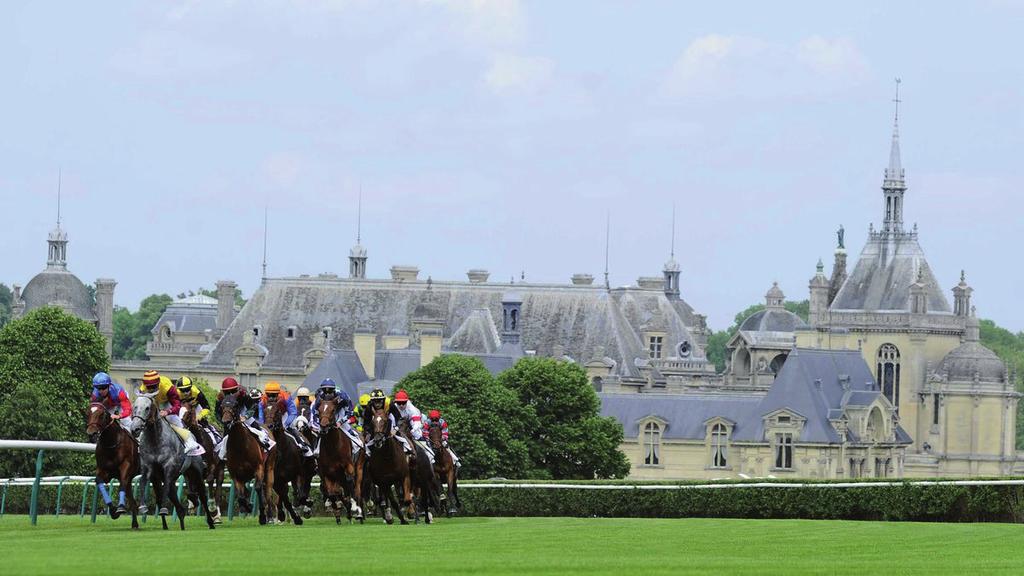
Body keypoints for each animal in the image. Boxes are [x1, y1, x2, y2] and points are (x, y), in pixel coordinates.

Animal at [131, 391, 215, 528]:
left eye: (147, 408)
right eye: (135, 406)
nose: (135, 429)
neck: (155, 440)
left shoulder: (169, 468)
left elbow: (164, 489)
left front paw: (164, 510)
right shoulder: (149, 469)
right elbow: (143, 482)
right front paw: (143, 507)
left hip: (196, 472)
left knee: (202, 495)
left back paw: (211, 522)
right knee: (178, 504)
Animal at [219, 391, 272, 522]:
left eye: (235, 405)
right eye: (221, 406)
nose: (226, 422)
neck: (240, 447)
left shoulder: (258, 468)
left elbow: (257, 488)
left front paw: (262, 515)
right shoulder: (236, 475)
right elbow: (241, 496)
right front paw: (248, 506)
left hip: (269, 467)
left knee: (267, 490)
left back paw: (269, 514)